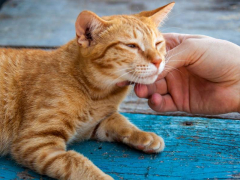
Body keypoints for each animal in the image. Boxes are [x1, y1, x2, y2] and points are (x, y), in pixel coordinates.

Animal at [0, 2, 173, 180]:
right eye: (131, 46)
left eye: (158, 43)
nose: (158, 61)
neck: (97, 94)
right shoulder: (35, 143)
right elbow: (77, 163)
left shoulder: (93, 125)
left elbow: (119, 120)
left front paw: (144, 135)